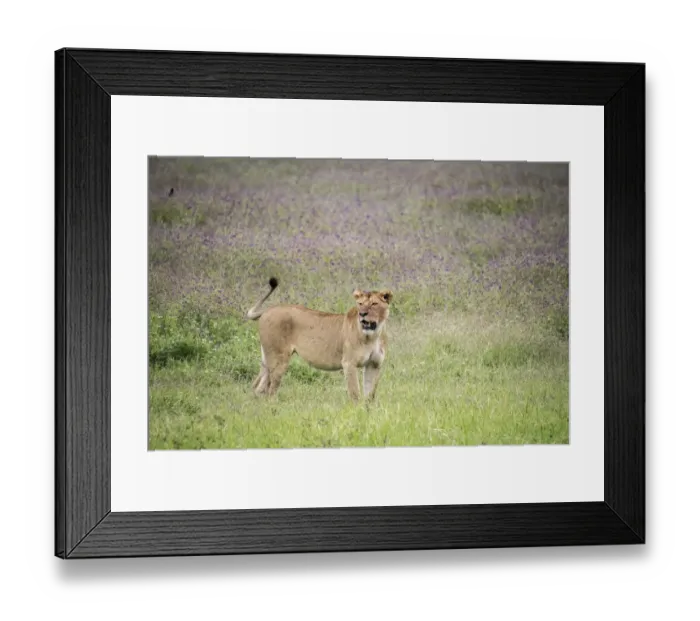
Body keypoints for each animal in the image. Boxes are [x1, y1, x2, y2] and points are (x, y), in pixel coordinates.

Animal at [245, 277, 393, 403]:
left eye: (374, 304)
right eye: (360, 304)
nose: (362, 314)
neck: (373, 335)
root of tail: (268, 309)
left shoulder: (374, 365)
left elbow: (370, 394)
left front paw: (368, 412)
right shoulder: (349, 363)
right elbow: (355, 393)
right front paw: (356, 412)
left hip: (267, 358)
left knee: (258, 386)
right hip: (278, 360)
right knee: (270, 390)